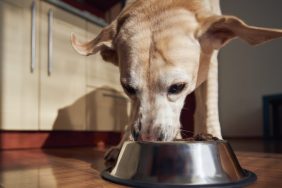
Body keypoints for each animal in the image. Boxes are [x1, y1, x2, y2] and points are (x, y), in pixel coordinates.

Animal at [70, 0, 282, 163]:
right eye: (128, 88)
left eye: (177, 87)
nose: (147, 138)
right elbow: (133, 117)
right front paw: (122, 144)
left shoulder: (211, 62)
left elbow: (208, 107)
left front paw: (213, 136)